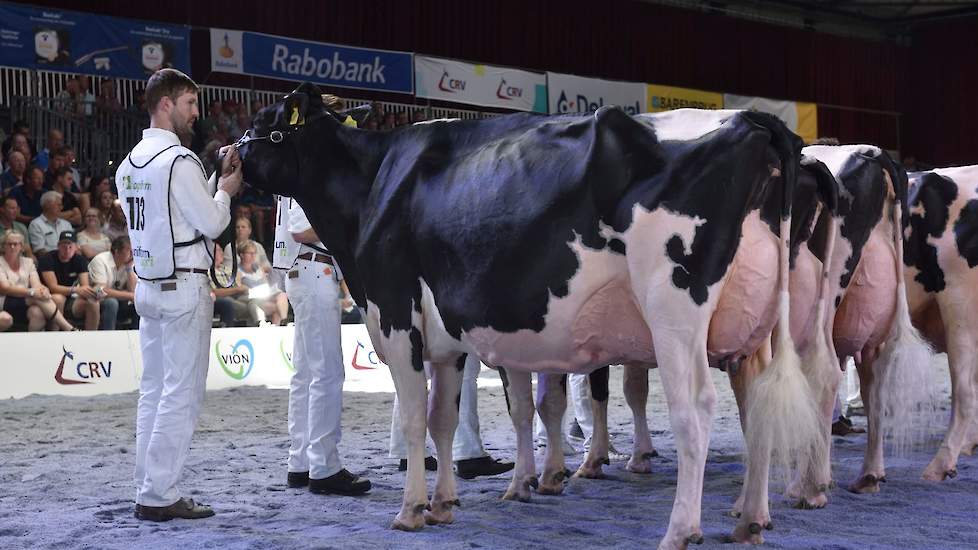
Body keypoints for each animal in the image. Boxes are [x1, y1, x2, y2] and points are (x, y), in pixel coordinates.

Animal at [240, 83, 820, 550]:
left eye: (265, 122)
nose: (227, 152)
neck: (373, 184)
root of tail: (753, 119)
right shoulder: (446, 340)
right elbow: (445, 418)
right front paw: (445, 503)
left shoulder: (396, 315)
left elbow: (414, 418)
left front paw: (410, 510)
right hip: (755, 327)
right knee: (758, 407)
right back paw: (750, 519)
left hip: (675, 310)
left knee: (695, 410)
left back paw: (680, 530)